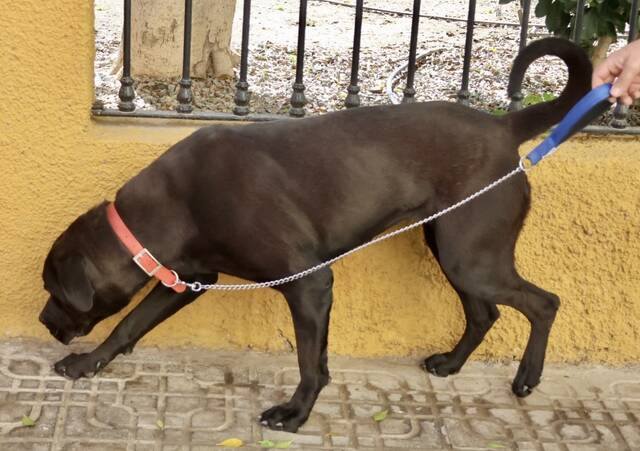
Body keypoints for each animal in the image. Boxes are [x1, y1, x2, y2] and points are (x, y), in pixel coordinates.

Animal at [40, 38, 591, 432]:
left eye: (52, 290)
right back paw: (452, 364)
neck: (174, 204)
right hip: (452, 248)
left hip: (469, 256)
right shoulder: (190, 279)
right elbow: (128, 326)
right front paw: (87, 364)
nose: (44, 322)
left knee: (544, 303)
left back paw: (527, 377)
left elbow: (309, 362)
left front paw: (296, 412)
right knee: (485, 312)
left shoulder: (308, 284)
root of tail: (503, 127)